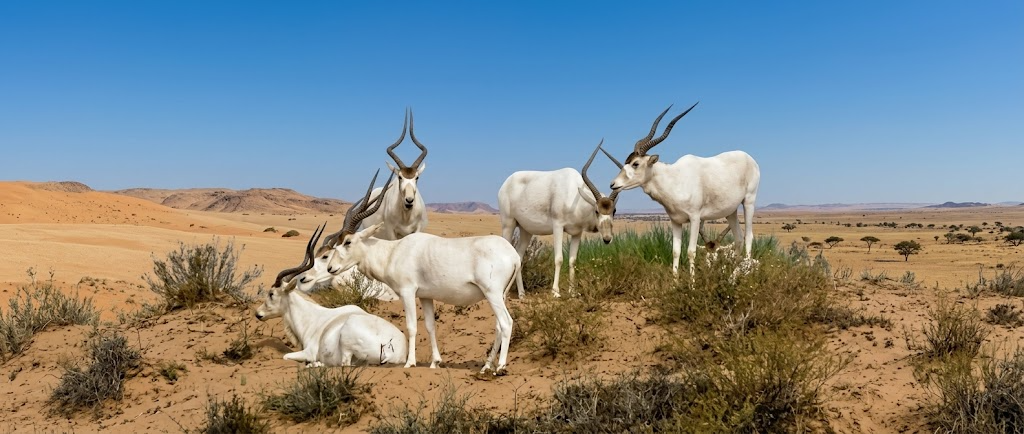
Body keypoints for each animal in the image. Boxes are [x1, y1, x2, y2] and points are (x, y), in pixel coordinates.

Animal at [255, 225, 407, 366]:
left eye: (271, 293)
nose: (258, 313)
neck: (312, 317)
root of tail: (395, 351)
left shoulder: (308, 352)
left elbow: (286, 356)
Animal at [323, 171, 520, 374]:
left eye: (348, 242)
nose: (331, 268)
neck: (393, 251)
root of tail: (514, 256)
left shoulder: (408, 292)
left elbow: (411, 326)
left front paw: (410, 362)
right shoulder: (426, 296)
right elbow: (430, 326)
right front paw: (435, 362)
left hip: (492, 293)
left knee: (506, 322)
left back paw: (500, 367)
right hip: (500, 295)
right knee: (498, 326)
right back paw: (486, 366)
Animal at [360, 109, 429, 240]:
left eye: (417, 177)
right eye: (400, 177)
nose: (409, 200)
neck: (406, 216)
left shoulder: (417, 230)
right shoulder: (391, 231)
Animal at [498, 139, 620, 297]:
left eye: (614, 211)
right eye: (596, 211)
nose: (607, 238)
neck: (574, 194)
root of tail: (506, 183)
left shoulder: (577, 233)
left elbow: (573, 260)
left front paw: (573, 292)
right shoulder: (558, 227)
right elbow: (559, 259)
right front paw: (555, 292)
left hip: (526, 230)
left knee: (518, 256)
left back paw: (522, 294)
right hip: (508, 224)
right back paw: (505, 293)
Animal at [607, 102, 760, 276]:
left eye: (636, 163)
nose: (613, 184)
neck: (675, 180)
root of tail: (749, 158)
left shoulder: (695, 218)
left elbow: (691, 251)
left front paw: (692, 282)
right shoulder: (676, 221)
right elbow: (676, 251)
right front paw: (675, 280)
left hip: (748, 201)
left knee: (748, 236)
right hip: (731, 211)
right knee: (739, 238)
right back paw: (731, 275)